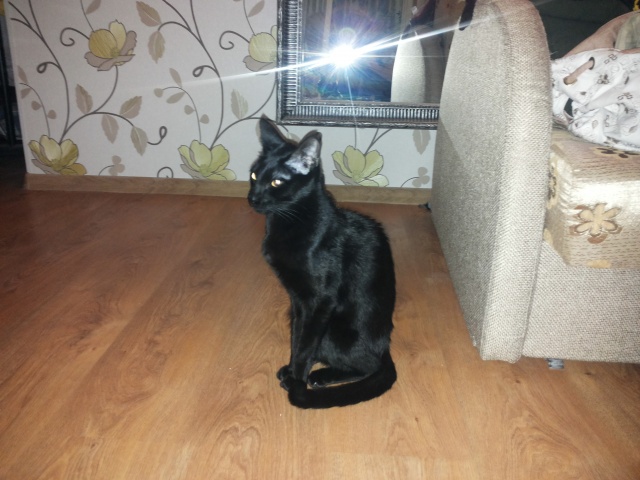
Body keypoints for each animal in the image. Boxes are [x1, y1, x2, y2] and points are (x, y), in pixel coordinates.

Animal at [248, 116, 397, 409]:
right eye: (254, 176)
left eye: (277, 182)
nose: (253, 198)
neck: (289, 220)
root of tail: (385, 345)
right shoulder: (297, 301)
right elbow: (298, 340)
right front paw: (292, 370)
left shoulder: (320, 301)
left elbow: (305, 346)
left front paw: (296, 381)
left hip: (335, 331)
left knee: (368, 365)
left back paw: (322, 377)